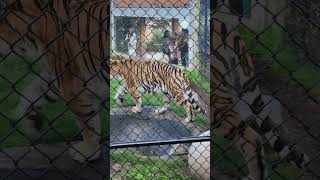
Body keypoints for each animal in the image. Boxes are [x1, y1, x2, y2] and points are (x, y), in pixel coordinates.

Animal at [0, 0, 109, 162]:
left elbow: (87, 123)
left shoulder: (71, 85)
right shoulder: (56, 78)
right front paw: (30, 124)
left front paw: (87, 151)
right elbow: (31, 93)